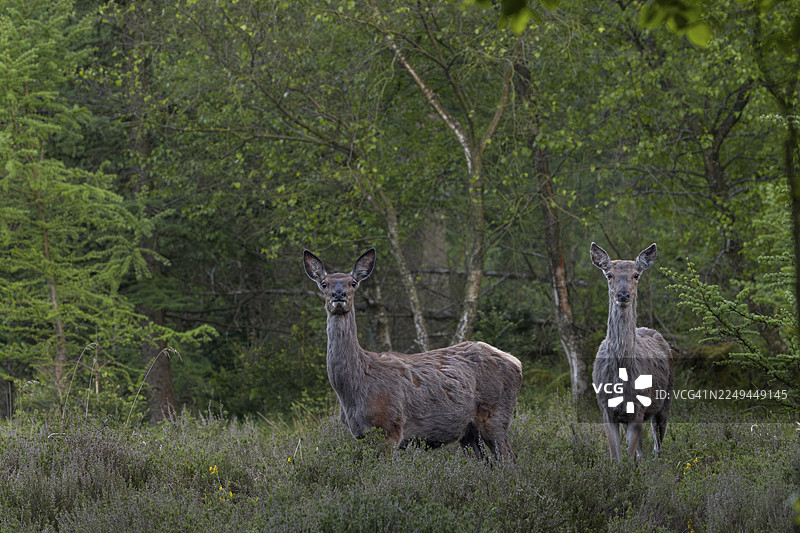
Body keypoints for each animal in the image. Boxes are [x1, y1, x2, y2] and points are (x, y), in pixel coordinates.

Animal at [303, 248, 522, 461]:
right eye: (324, 283)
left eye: (353, 283)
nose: (338, 294)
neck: (354, 389)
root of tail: (516, 362)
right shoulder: (361, 435)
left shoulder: (390, 426)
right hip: (469, 432)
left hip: (496, 414)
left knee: (508, 458)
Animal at [590, 242, 675, 462]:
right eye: (609, 274)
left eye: (636, 275)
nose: (623, 295)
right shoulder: (606, 409)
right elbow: (617, 458)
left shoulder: (638, 407)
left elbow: (628, 458)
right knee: (642, 449)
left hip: (666, 400)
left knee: (657, 445)